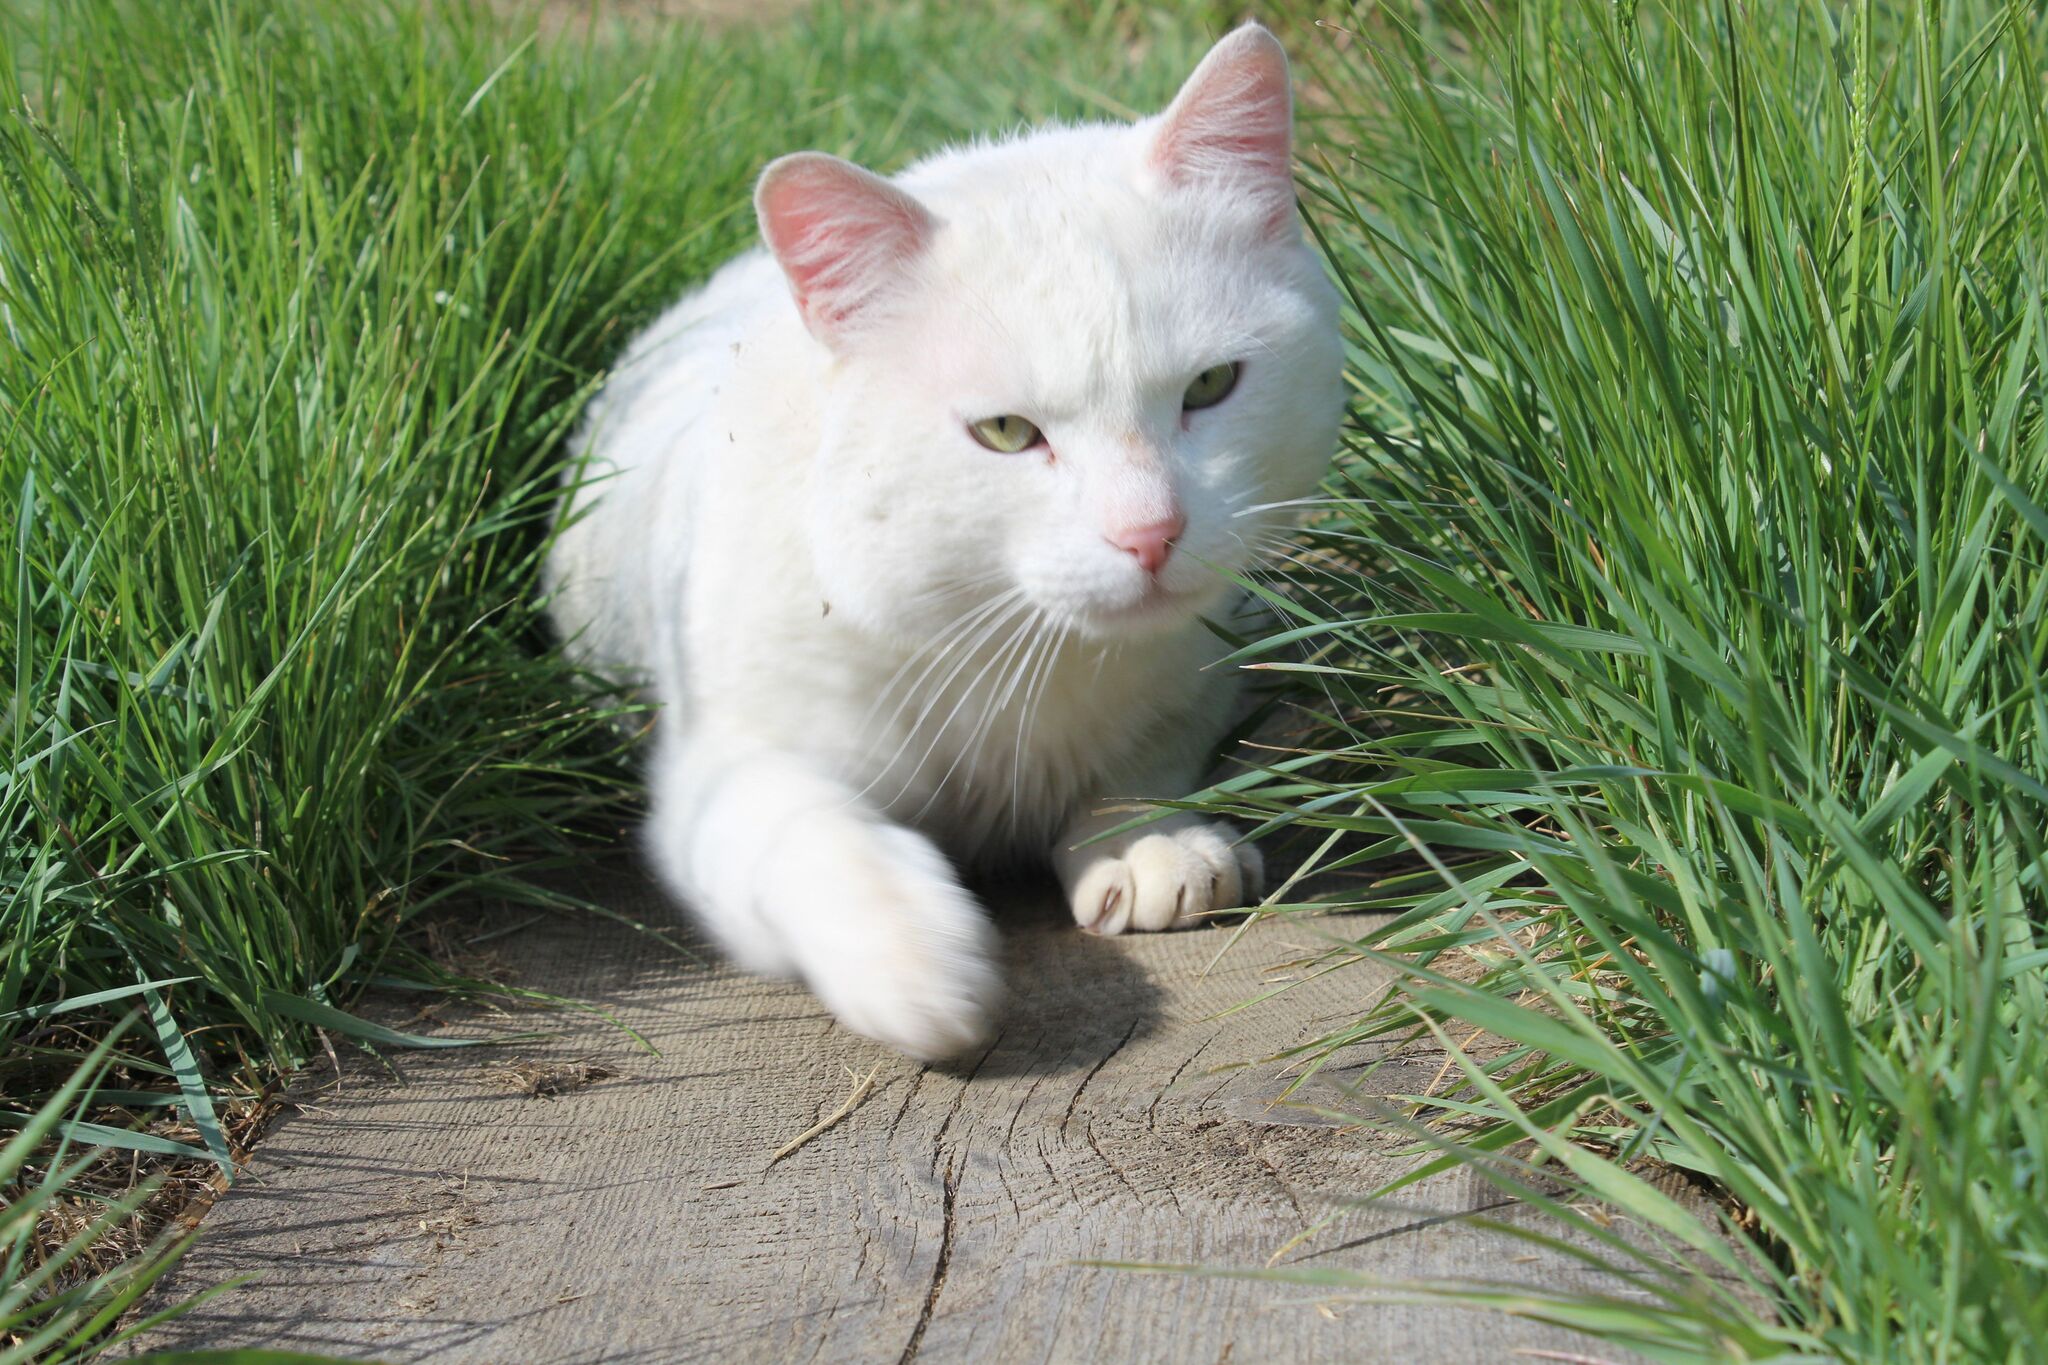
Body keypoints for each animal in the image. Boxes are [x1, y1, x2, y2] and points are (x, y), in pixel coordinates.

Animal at [544, 24, 1343, 1064]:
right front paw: (911, 953)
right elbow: (817, 833)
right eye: (1005, 432)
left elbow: (1143, 758)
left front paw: (1146, 839)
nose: (1150, 533)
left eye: (1211, 386)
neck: (1011, 647)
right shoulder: (722, 777)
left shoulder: (1203, 668)